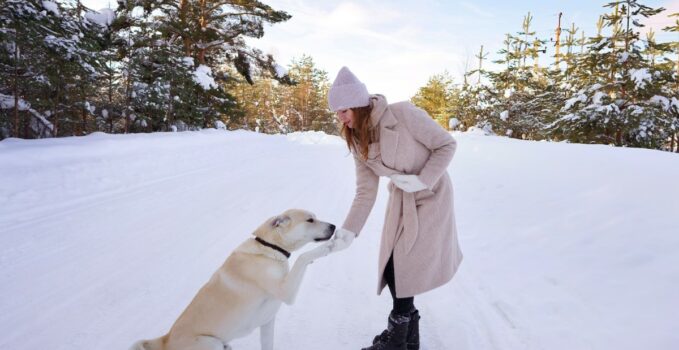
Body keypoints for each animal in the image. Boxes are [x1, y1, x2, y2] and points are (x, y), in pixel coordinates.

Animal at [131, 209, 338, 348]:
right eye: (310, 220)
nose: (334, 226)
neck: (269, 248)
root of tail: (166, 340)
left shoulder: (268, 321)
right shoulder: (285, 291)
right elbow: (303, 257)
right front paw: (325, 249)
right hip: (209, 343)